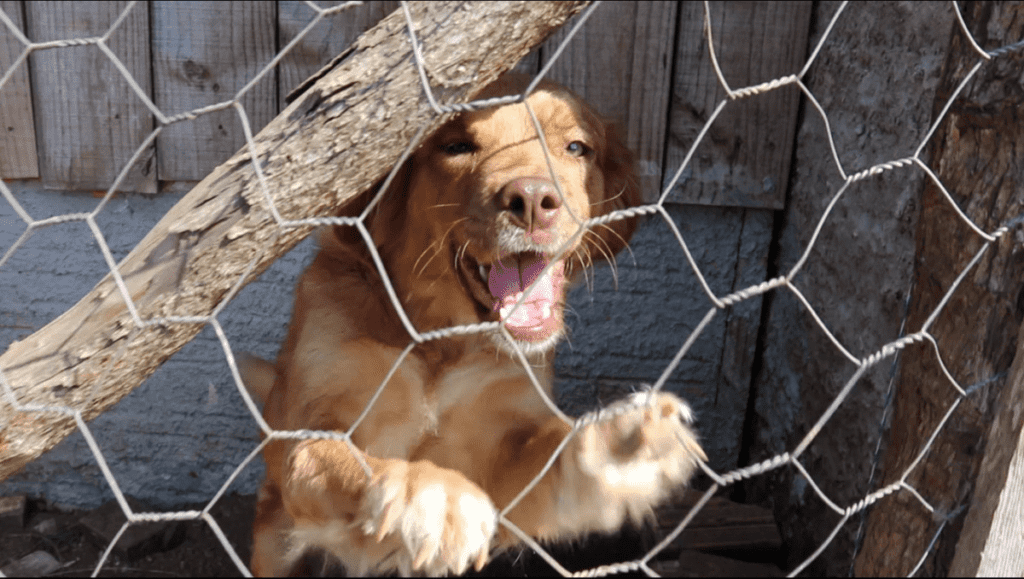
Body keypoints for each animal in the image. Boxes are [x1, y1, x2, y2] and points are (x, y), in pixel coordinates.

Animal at [241, 72, 704, 573]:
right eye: (457, 146)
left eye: (577, 147)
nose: (533, 200)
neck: (440, 342)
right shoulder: (314, 422)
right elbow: (339, 458)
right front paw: (428, 492)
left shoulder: (502, 445)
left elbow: (549, 452)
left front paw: (618, 445)